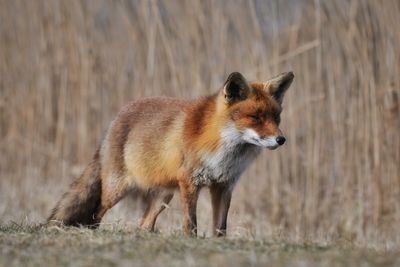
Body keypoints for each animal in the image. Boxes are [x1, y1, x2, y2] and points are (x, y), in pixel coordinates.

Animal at [49, 71, 294, 237]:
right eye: (255, 118)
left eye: (276, 118)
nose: (281, 140)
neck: (224, 152)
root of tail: (115, 119)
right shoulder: (190, 182)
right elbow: (191, 224)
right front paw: (191, 241)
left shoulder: (223, 186)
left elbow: (220, 228)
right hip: (117, 189)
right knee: (95, 214)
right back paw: (93, 233)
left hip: (163, 197)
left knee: (144, 225)